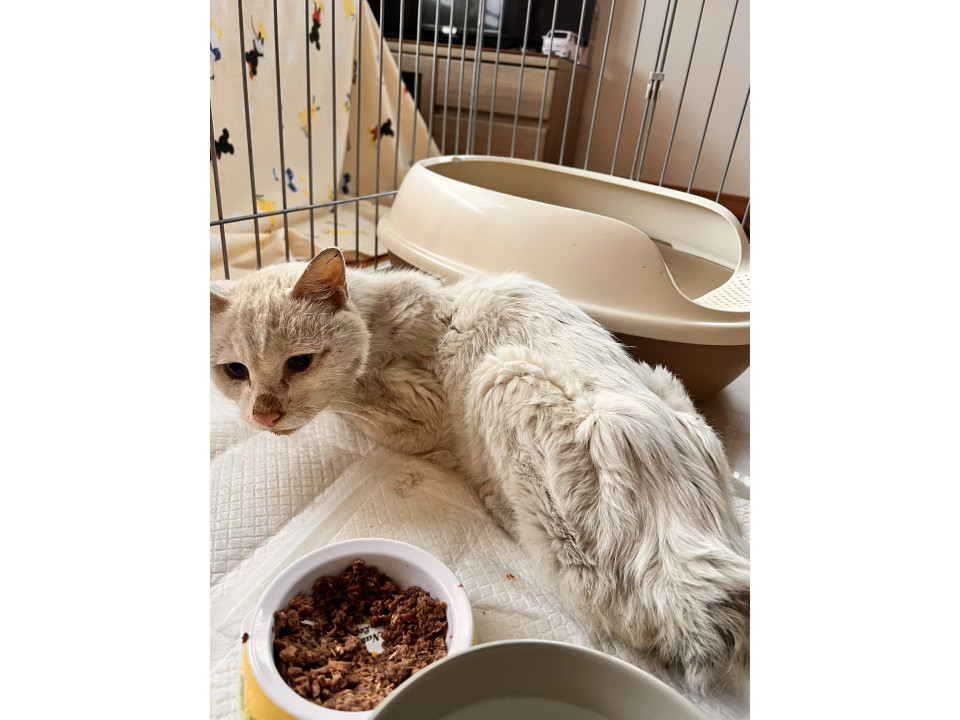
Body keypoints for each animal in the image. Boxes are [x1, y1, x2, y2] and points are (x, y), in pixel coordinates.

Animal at [210, 247, 750, 692]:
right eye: (235, 371)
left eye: (299, 363)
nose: (264, 415)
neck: (378, 320)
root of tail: (704, 580)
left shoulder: (415, 413)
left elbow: (346, 406)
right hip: (665, 383)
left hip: (504, 374)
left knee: (586, 587)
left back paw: (495, 501)